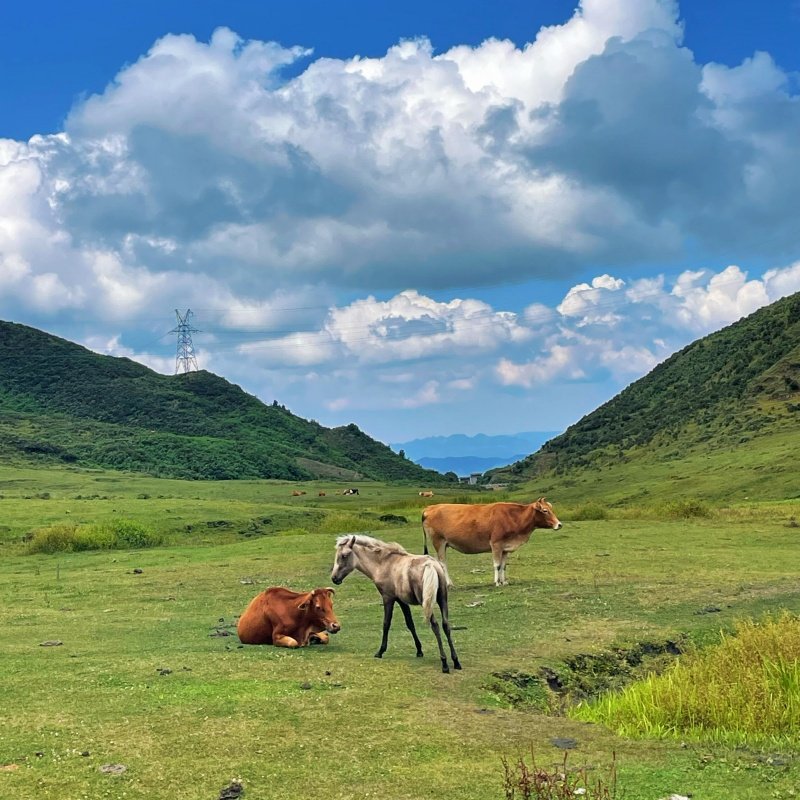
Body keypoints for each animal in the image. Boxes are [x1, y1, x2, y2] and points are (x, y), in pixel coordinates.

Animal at [330, 534, 461, 673]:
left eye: (344, 555)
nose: (334, 578)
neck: (383, 563)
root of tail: (431, 565)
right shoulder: (402, 601)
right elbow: (410, 624)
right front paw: (419, 650)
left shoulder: (388, 598)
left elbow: (386, 624)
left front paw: (380, 651)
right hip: (442, 599)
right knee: (446, 625)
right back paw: (456, 661)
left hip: (426, 602)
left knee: (435, 626)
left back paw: (444, 663)